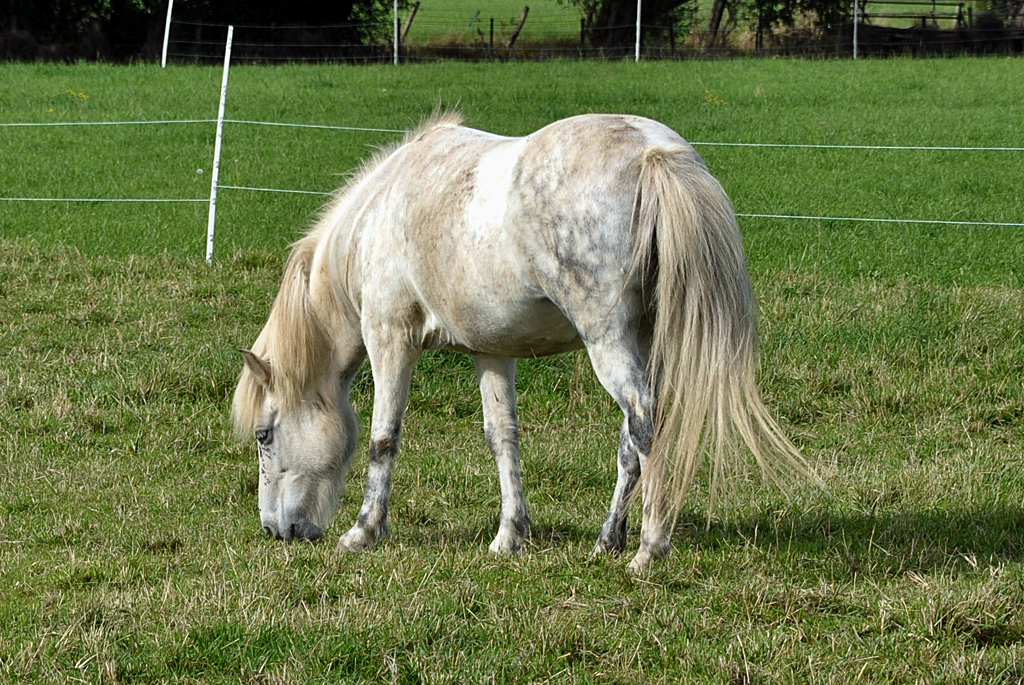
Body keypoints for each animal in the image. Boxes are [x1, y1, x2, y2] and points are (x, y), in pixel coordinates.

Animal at [234, 112, 806, 573]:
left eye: (264, 435)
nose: (275, 531)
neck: (381, 212)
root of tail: (653, 153)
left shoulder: (390, 339)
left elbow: (382, 439)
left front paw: (364, 531)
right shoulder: (491, 351)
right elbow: (502, 437)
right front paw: (510, 534)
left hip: (608, 342)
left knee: (645, 426)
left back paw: (649, 548)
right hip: (646, 341)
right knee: (630, 441)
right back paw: (608, 540)